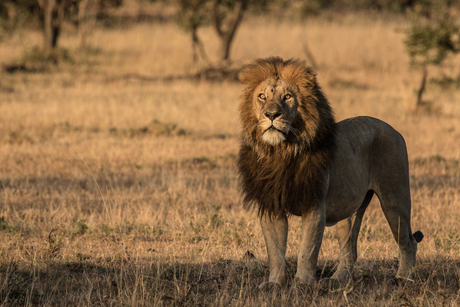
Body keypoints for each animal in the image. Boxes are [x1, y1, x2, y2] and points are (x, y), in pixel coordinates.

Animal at [239, 56, 422, 290]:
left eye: (287, 97)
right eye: (262, 96)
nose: (271, 114)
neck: (281, 152)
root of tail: (393, 129)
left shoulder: (316, 204)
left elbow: (307, 250)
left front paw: (302, 284)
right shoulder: (271, 205)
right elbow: (275, 251)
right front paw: (275, 284)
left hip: (394, 199)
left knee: (409, 242)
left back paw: (403, 278)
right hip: (348, 210)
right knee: (350, 251)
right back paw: (337, 279)